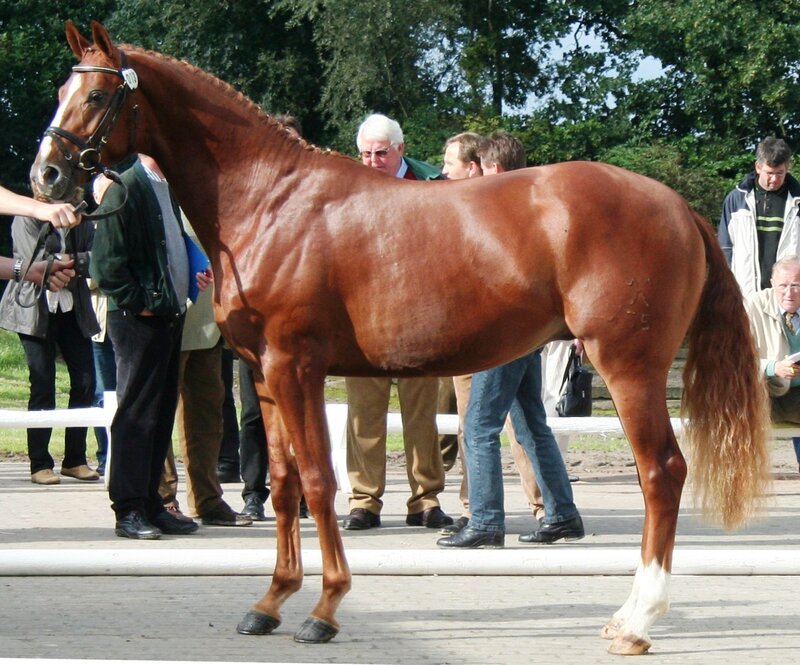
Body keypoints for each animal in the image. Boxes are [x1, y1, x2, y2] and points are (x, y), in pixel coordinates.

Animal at [30, 20, 770, 655]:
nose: (46, 175)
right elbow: (284, 483)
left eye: (97, 94)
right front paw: (270, 601)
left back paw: (635, 620)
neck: (269, 200)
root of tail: (673, 204)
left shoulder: (296, 366)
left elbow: (320, 482)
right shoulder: (264, 373)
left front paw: (326, 608)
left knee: (662, 473)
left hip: (629, 367)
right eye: (64, 90)